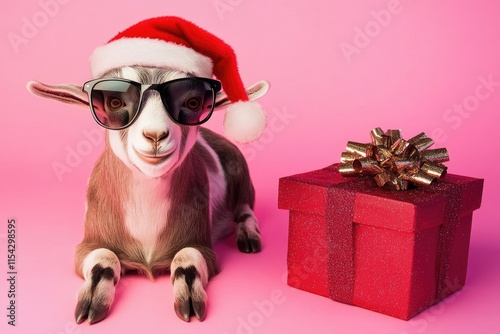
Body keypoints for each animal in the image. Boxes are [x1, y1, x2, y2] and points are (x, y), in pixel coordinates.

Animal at [26, 15, 270, 324]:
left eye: (193, 103)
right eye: (114, 101)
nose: (155, 135)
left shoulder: (204, 247)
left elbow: (187, 259)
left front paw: (189, 302)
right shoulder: (86, 246)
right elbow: (103, 259)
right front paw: (90, 303)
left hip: (242, 179)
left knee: (246, 210)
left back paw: (249, 238)